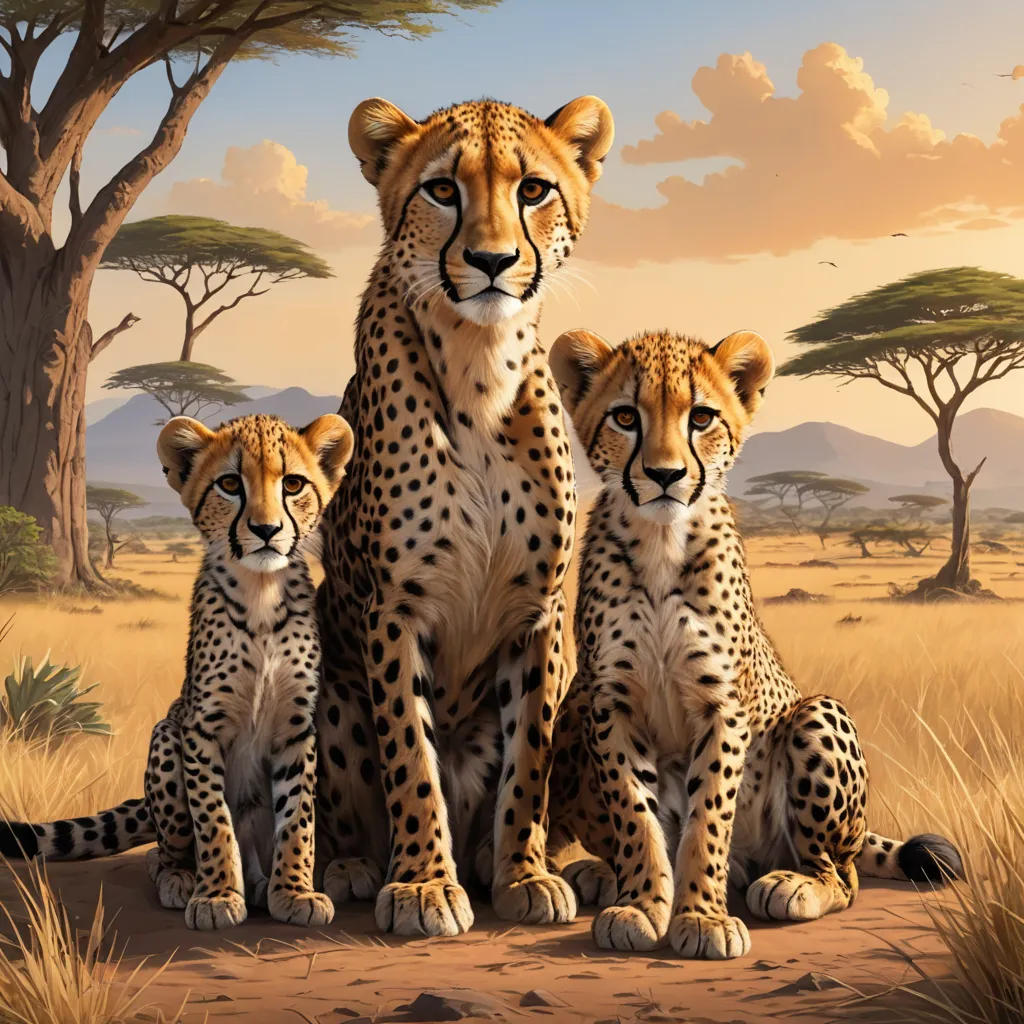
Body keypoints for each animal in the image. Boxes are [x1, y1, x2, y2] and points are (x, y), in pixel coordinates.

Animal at [0, 412, 353, 932]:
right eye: (230, 484)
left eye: (292, 484)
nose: (267, 529)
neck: (260, 592)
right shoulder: (200, 727)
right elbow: (213, 820)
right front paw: (218, 896)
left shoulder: (296, 729)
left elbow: (297, 819)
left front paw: (294, 891)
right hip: (166, 733)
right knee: (169, 845)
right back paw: (180, 877)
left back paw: (262, 884)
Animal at [313, 94, 614, 938]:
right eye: (443, 190)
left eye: (534, 189)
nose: (490, 261)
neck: (480, 361)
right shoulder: (394, 610)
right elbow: (411, 758)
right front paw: (422, 885)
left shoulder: (538, 615)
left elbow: (528, 764)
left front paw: (523, 875)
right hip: (327, 685)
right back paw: (353, 867)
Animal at [545, 327, 964, 958]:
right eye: (625, 417)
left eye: (701, 417)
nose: (665, 475)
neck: (660, 541)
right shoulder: (609, 702)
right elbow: (636, 816)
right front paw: (642, 905)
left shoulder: (724, 705)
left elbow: (708, 819)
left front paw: (701, 918)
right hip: (571, 712)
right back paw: (604, 876)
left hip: (817, 714)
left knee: (843, 875)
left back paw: (791, 885)